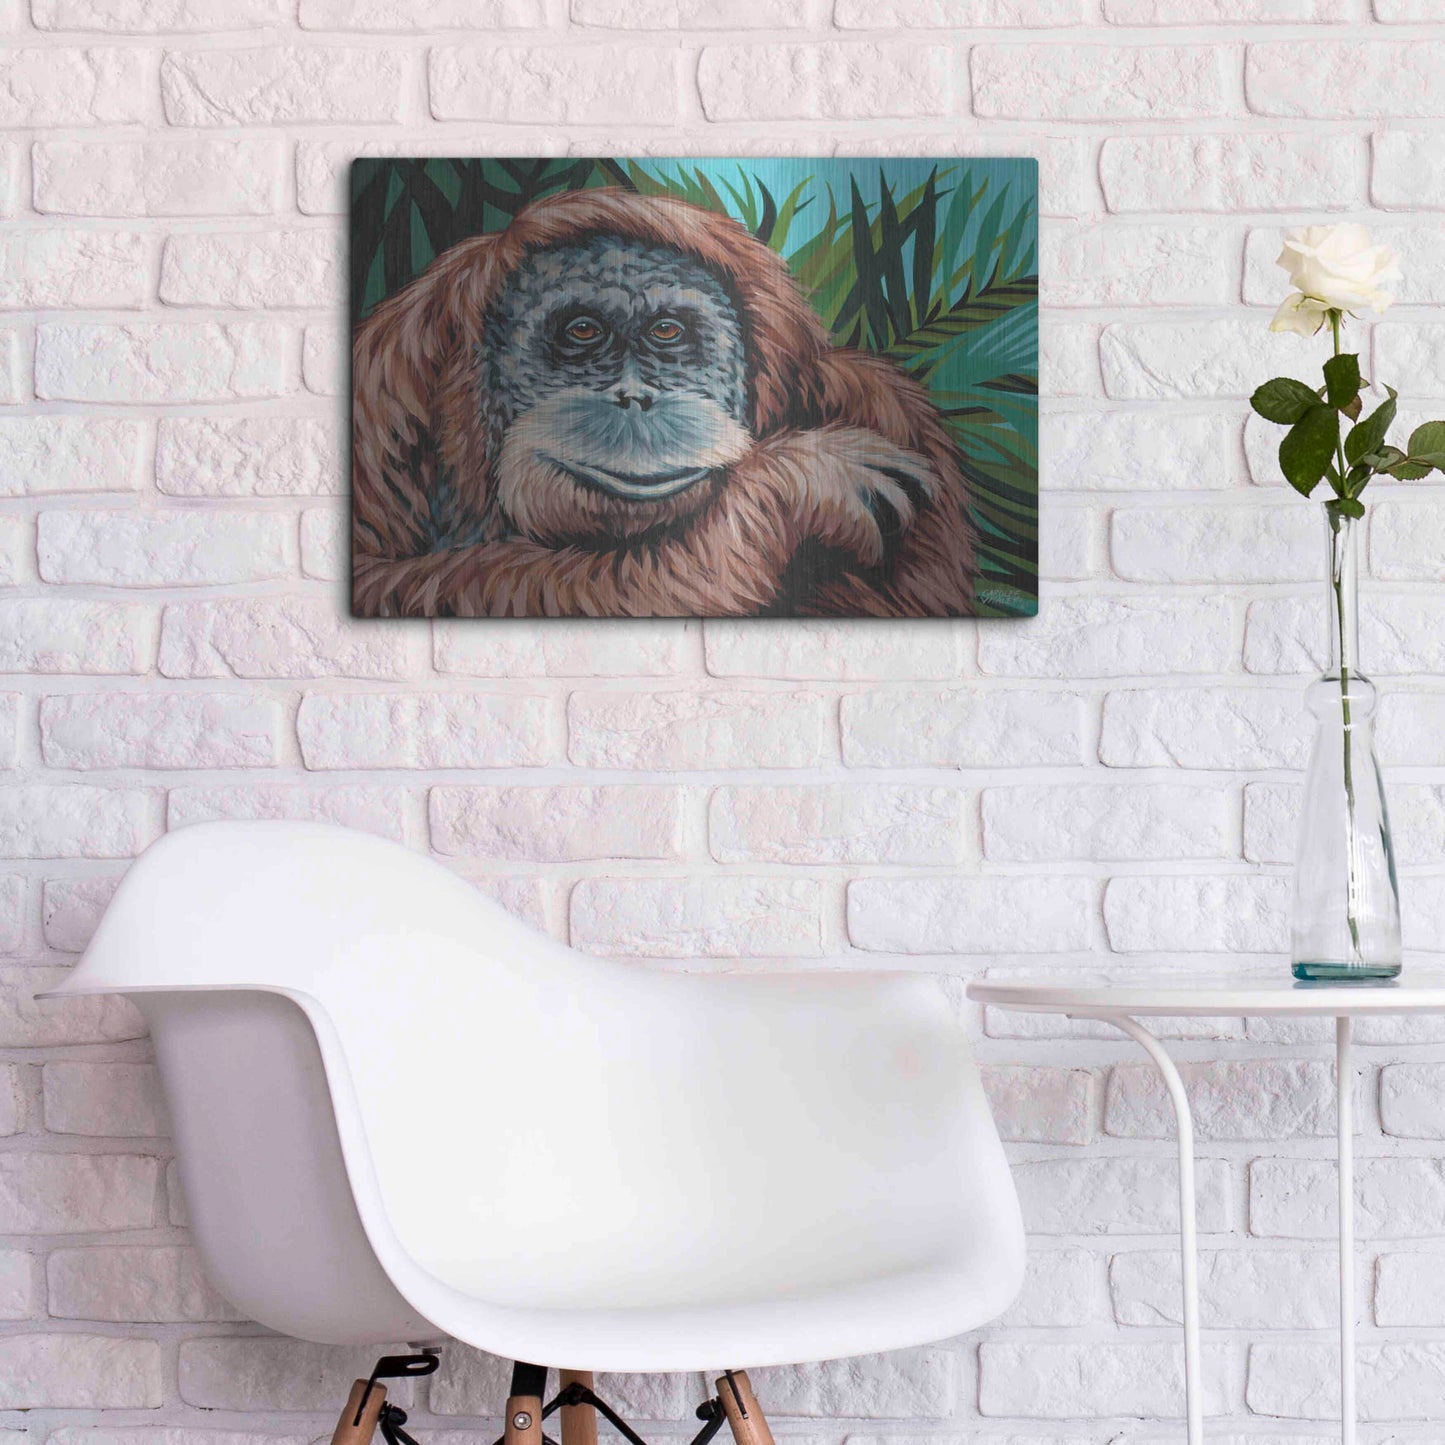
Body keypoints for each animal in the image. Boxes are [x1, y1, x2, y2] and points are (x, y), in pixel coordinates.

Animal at [352, 187, 976, 619]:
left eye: (667, 332)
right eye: (583, 332)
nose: (634, 399)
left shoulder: (884, 403)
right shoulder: (380, 397)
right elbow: (380, 582)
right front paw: (796, 482)